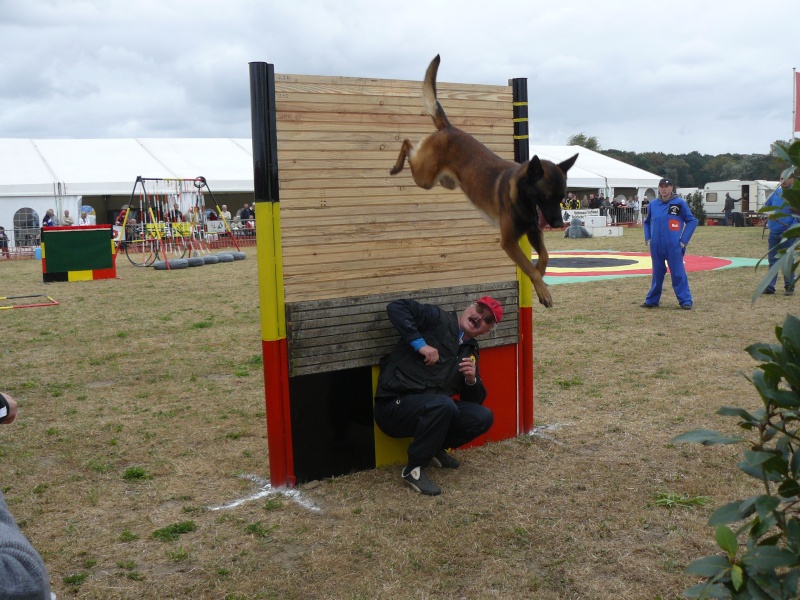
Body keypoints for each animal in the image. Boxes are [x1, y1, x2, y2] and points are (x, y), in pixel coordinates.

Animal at [390, 55, 580, 308]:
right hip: (424, 177)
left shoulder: (533, 231)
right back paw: (396, 165)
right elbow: (529, 267)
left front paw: (540, 279)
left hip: (446, 182)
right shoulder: (508, 242)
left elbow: (545, 257)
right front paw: (542, 288)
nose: (559, 223)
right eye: (546, 196)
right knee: (407, 144)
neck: (521, 197)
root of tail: (449, 127)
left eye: (562, 198)